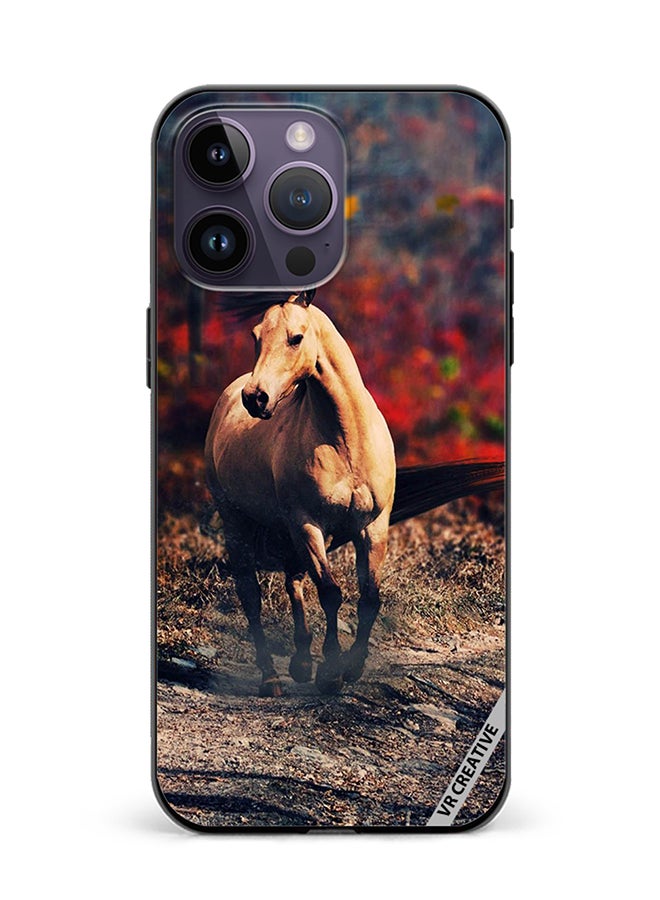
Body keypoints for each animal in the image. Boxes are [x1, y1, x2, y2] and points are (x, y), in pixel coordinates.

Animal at [205, 290, 396, 696]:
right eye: (256, 336)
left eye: (296, 338)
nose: (255, 398)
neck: (345, 439)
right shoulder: (309, 525)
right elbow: (330, 592)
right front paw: (331, 673)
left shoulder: (374, 526)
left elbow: (369, 597)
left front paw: (352, 667)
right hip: (238, 522)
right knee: (251, 595)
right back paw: (271, 677)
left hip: (286, 529)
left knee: (293, 579)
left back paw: (301, 662)